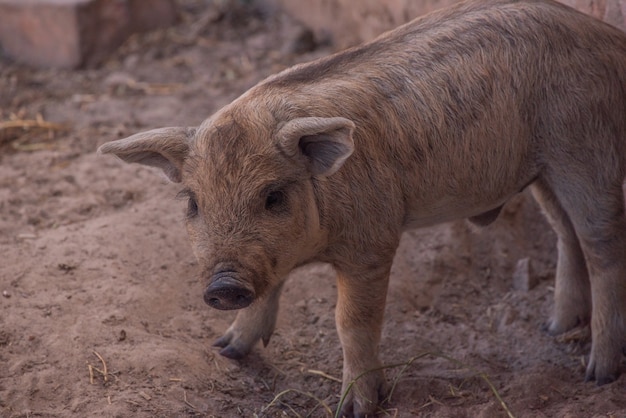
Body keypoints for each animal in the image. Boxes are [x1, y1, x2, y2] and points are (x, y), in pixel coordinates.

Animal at [97, 0, 624, 414]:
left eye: (273, 196)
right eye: (193, 202)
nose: (224, 286)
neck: (316, 245)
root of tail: (610, 38)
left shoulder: (374, 241)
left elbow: (351, 321)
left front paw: (356, 407)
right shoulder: (268, 262)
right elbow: (268, 291)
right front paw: (227, 350)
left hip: (583, 149)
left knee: (603, 246)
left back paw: (598, 373)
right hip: (542, 171)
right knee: (566, 235)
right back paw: (554, 328)